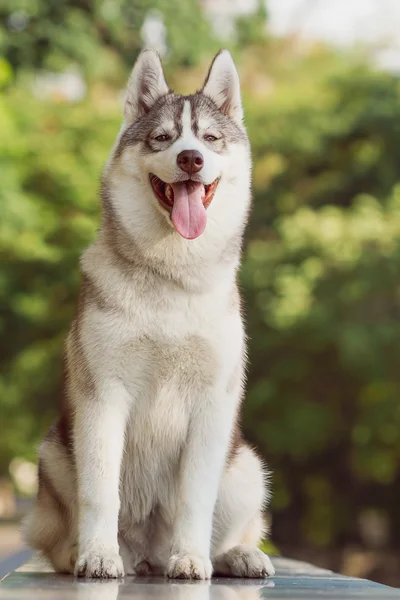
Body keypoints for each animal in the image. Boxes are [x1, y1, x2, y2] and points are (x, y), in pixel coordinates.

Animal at [24, 48, 276, 580]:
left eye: (209, 138)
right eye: (163, 137)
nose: (190, 158)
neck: (170, 278)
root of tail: (146, 555)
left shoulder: (212, 406)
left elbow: (196, 499)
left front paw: (192, 558)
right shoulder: (102, 396)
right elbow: (101, 491)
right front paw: (98, 554)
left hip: (245, 466)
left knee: (224, 527)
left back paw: (232, 555)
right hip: (55, 450)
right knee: (59, 539)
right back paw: (84, 552)